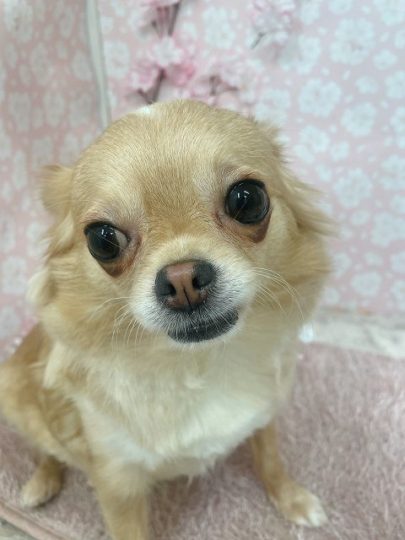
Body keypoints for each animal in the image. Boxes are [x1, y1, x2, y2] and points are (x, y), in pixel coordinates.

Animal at [0, 100, 331, 539]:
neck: (197, 361)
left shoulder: (266, 410)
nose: (183, 279)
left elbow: (270, 458)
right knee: (47, 446)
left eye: (247, 199)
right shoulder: (118, 482)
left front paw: (291, 497)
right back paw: (43, 481)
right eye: (102, 239)